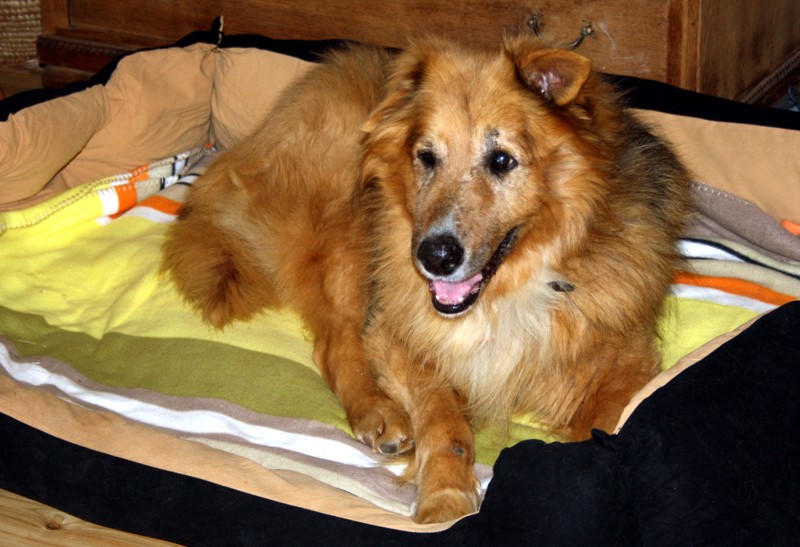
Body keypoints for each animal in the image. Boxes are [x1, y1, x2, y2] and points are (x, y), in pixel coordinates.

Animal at [163, 36, 690, 523]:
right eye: (426, 156)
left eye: (502, 160)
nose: (434, 256)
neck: (510, 290)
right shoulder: (400, 330)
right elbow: (445, 422)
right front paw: (445, 498)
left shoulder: (625, 364)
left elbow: (597, 431)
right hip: (349, 214)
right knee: (334, 342)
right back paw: (376, 411)